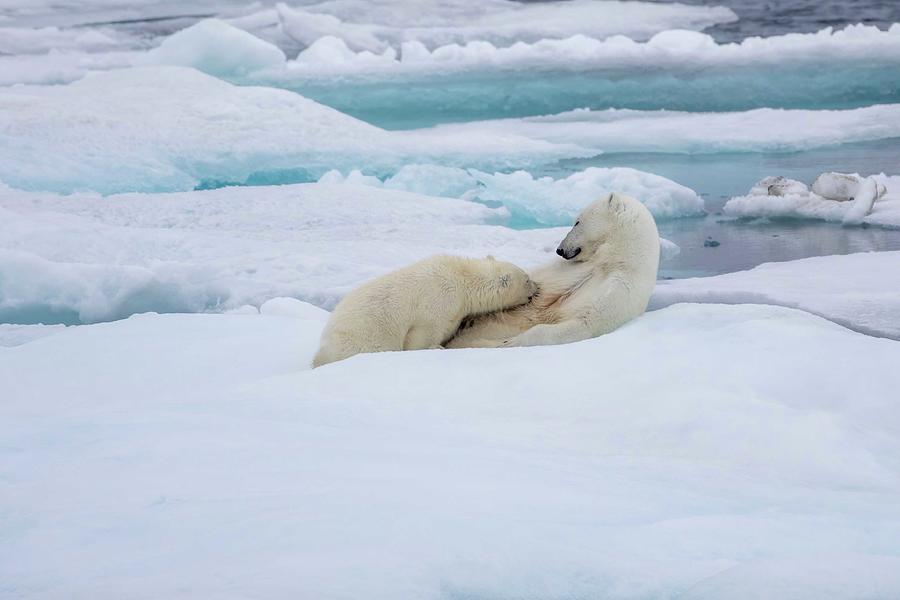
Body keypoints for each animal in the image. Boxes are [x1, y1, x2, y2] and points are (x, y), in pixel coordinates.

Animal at [446, 192, 656, 350]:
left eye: (577, 222)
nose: (560, 249)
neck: (611, 259)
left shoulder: (620, 288)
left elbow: (585, 322)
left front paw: (510, 342)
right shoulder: (565, 268)